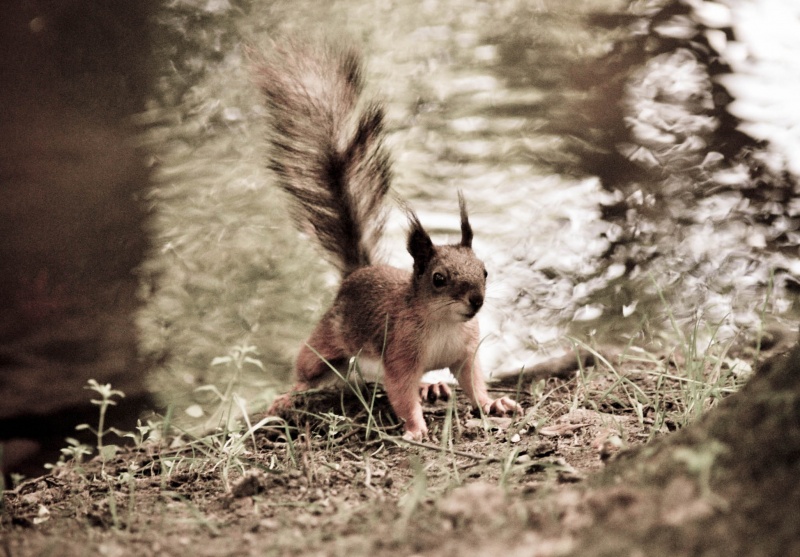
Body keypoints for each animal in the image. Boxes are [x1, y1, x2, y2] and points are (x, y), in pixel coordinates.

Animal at [254, 42, 521, 440]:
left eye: (485, 271)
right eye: (438, 278)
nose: (476, 300)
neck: (443, 323)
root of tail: (356, 274)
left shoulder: (466, 353)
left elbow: (473, 383)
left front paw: (492, 404)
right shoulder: (398, 354)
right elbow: (400, 393)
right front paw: (415, 428)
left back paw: (432, 385)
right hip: (328, 341)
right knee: (307, 370)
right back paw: (288, 395)